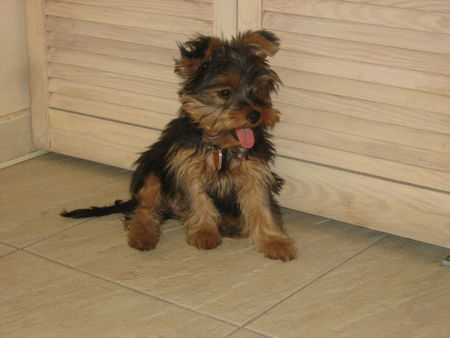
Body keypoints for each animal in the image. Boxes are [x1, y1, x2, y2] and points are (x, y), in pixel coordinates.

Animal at [61, 29, 298, 262]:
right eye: (225, 93)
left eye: (259, 90)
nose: (255, 114)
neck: (220, 146)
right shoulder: (185, 167)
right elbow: (197, 199)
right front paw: (204, 233)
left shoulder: (256, 171)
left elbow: (261, 205)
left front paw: (275, 242)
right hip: (153, 167)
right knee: (145, 207)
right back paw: (142, 234)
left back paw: (231, 224)